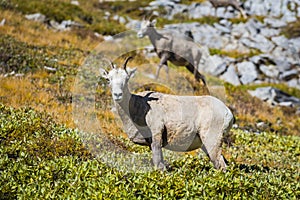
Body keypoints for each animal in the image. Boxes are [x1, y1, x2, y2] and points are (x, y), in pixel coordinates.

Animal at [101, 57, 234, 171]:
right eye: (108, 79)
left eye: (127, 79)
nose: (118, 95)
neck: (137, 107)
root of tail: (227, 112)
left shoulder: (156, 138)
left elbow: (160, 165)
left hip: (212, 142)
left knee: (222, 165)